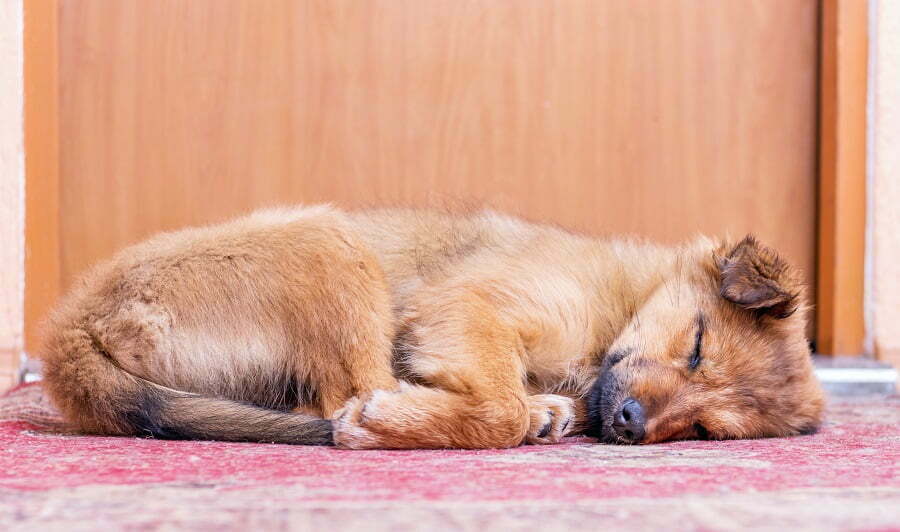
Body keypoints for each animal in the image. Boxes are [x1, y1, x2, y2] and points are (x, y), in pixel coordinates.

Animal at [38, 206, 828, 446]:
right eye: (696, 346)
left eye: (707, 430)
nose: (630, 423)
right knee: (347, 396)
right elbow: (496, 406)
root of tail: (72, 329)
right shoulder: (467, 301)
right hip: (331, 244)